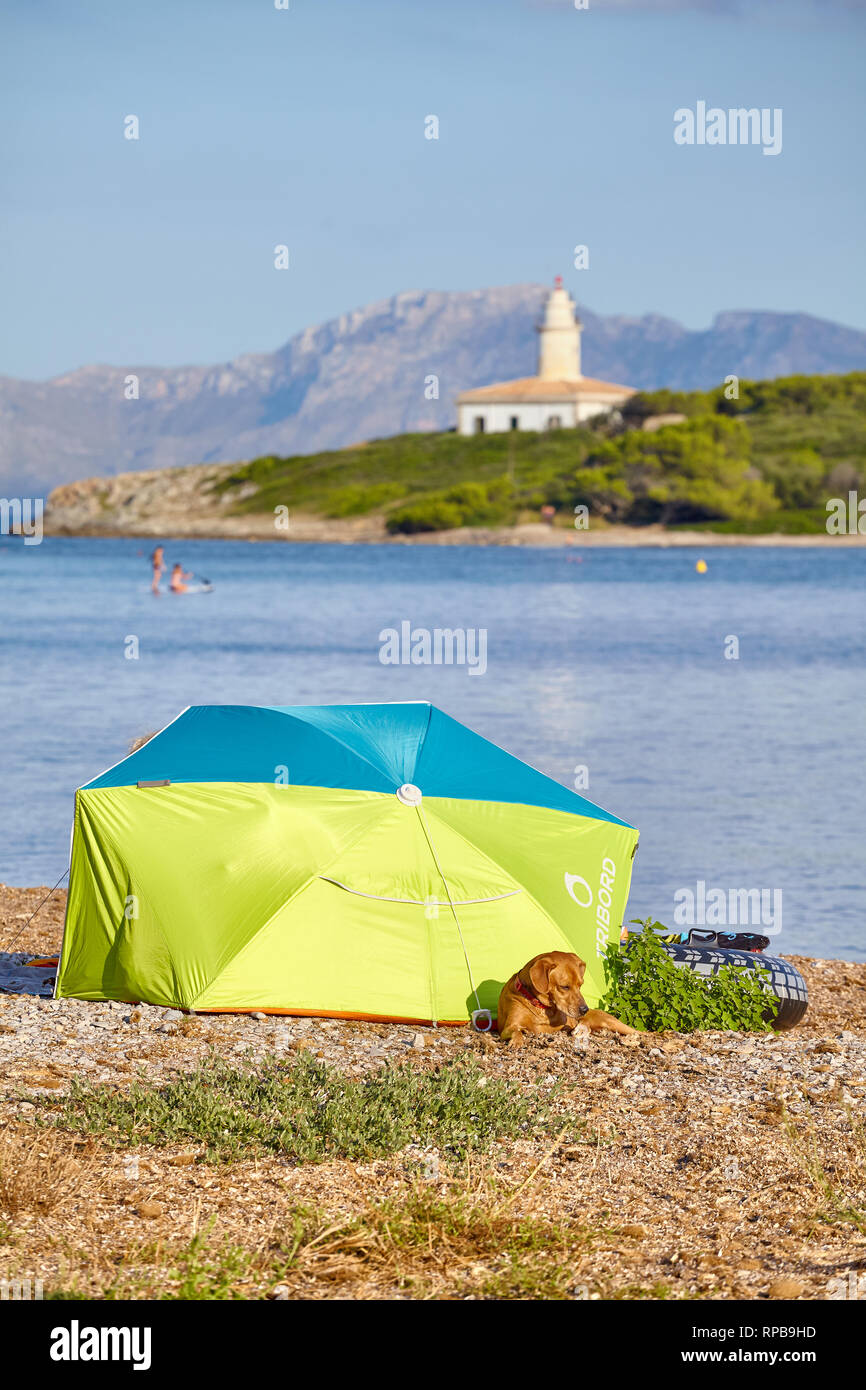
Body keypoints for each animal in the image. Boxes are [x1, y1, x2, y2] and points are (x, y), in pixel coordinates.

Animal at [497, 950, 633, 1045]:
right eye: (565, 987)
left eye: (580, 985)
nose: (585, 1010)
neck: (541, 1008)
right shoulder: (509, 1027)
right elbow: (517, 1031)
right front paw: (517, 1042)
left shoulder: (568, 1024)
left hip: (614, 1023)